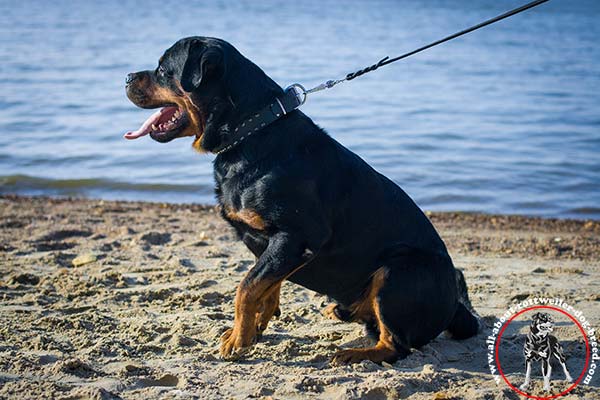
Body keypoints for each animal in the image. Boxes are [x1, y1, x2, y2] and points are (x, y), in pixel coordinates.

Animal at [124, 36, 480, 362]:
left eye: (161, 70)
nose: (126, 76)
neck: (252, 131)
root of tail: (455, 308)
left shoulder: (297, 237)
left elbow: (246, 288)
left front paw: (238, 339)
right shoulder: (276, 246)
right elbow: (265, 284)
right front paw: (255, 327)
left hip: (399, 270)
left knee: (396, 345)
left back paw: (354, 355)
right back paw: (342, 313)